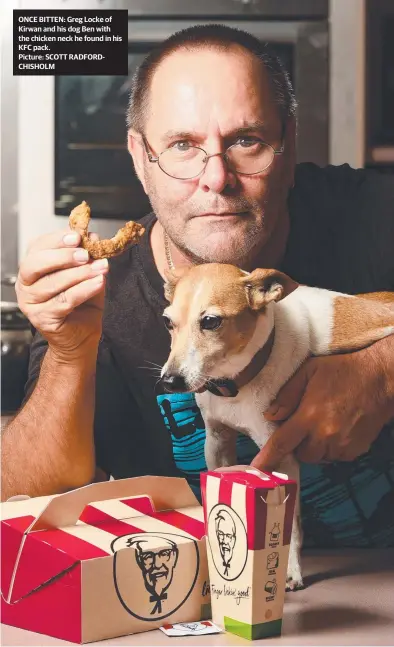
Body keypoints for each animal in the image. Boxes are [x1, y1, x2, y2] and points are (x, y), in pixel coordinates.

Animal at [160, 264, 394, 592]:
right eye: (167, 321)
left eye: (210, 321)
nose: (169, 381)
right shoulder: (217, 441)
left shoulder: (281, 454)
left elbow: (291, 524)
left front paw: (290, 569)